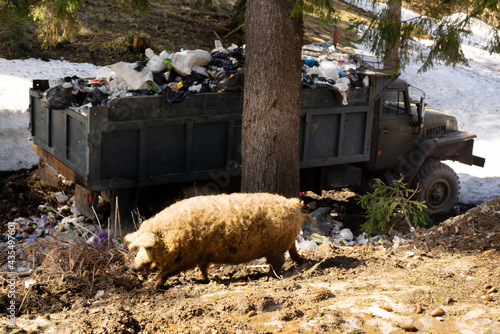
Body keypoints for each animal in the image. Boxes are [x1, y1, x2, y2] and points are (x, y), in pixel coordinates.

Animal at [125, 192, 310, 288]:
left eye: (148, 248)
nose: (132, 267)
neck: (173, 237)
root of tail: (293, 204)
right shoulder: (200, 255)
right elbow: (203, 268)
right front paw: (204, 280)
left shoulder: (186, 258)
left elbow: (167, 271)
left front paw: (155, 286)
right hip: (287, 240)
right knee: (292, 251)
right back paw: (301, 261)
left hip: (276, 246)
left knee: (278, 262)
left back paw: (269, 278)